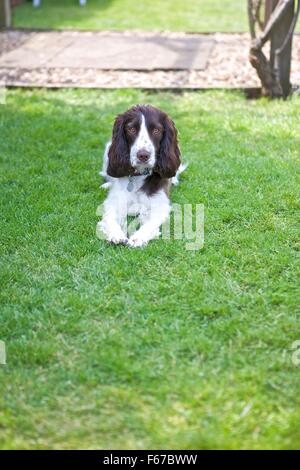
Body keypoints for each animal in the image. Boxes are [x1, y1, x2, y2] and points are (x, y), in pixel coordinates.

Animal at [98, 104, 184, 248]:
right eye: (131, 129)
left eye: (156, 131)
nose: (143, 155)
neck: (138, 176)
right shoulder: (114, 200)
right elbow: (110, 217)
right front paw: (116, 234)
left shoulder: (160, 204)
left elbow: (150, 223)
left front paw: (138, 237)